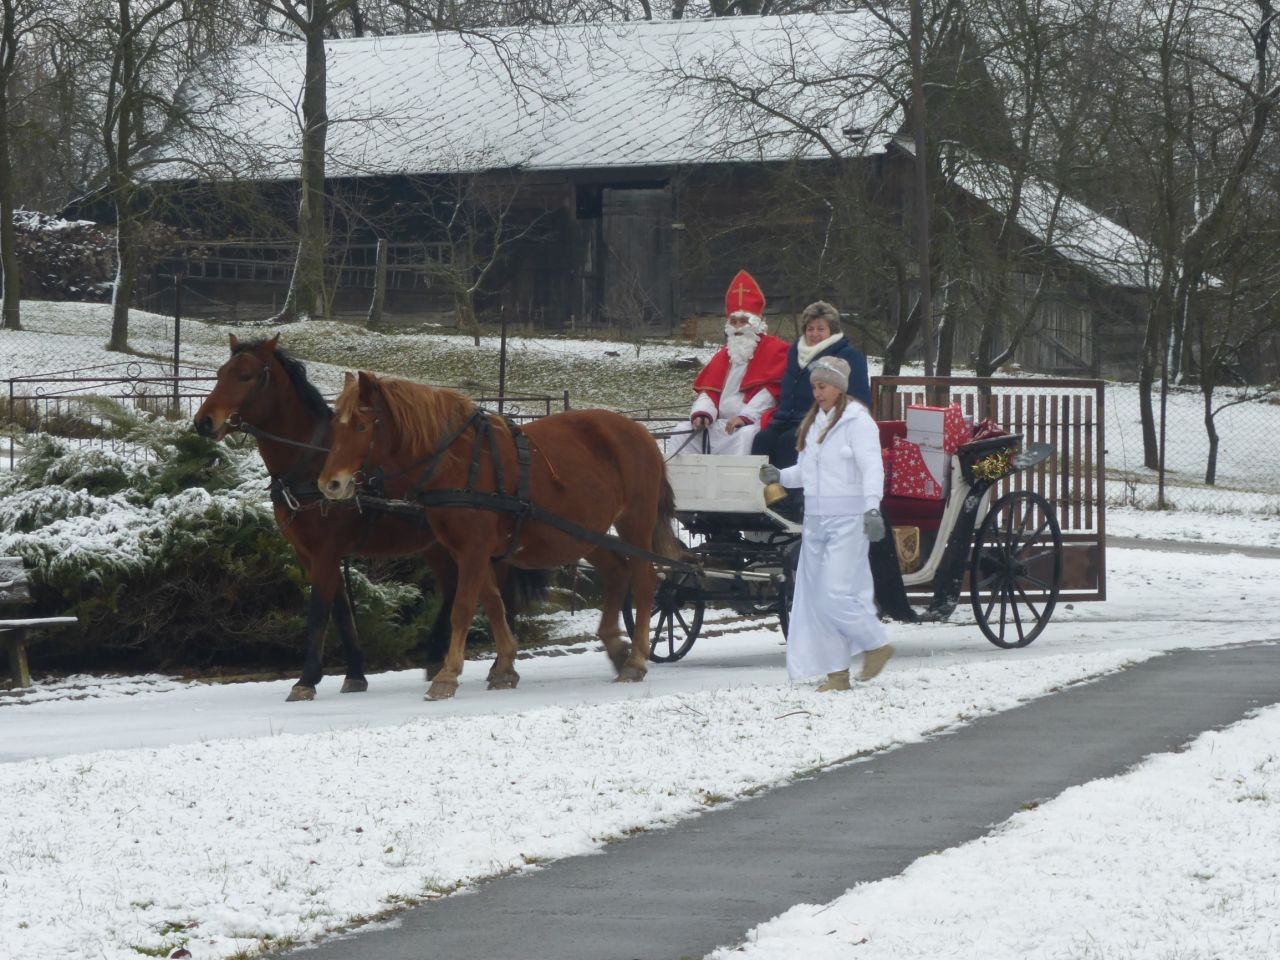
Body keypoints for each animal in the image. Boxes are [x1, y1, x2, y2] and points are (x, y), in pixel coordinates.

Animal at [193, 335, 545, 701]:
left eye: (246, 376)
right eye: (220, 373)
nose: (204, 421)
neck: (311, 459)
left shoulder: (326, 551)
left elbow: (318, 612)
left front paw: (306, 679)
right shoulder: (310, 554)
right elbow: (341, 610)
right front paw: (355, 673)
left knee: (493, 595)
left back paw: (490, 664)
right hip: (438, 546)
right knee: (457, 590)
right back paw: (444, 656)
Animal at [316, 370, 682, 700]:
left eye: (361, 426)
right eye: (335, 426)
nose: (330, 483)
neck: (457, 462)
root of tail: (639, 430)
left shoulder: (474, 549)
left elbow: (463, 607)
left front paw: (448, 675)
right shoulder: (471, 551)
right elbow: (493, 603)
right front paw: (505, 665)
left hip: (635, 522)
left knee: (644, 581)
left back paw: (636, 658)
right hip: (583, 532)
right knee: (617, 573)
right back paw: (616, 644)